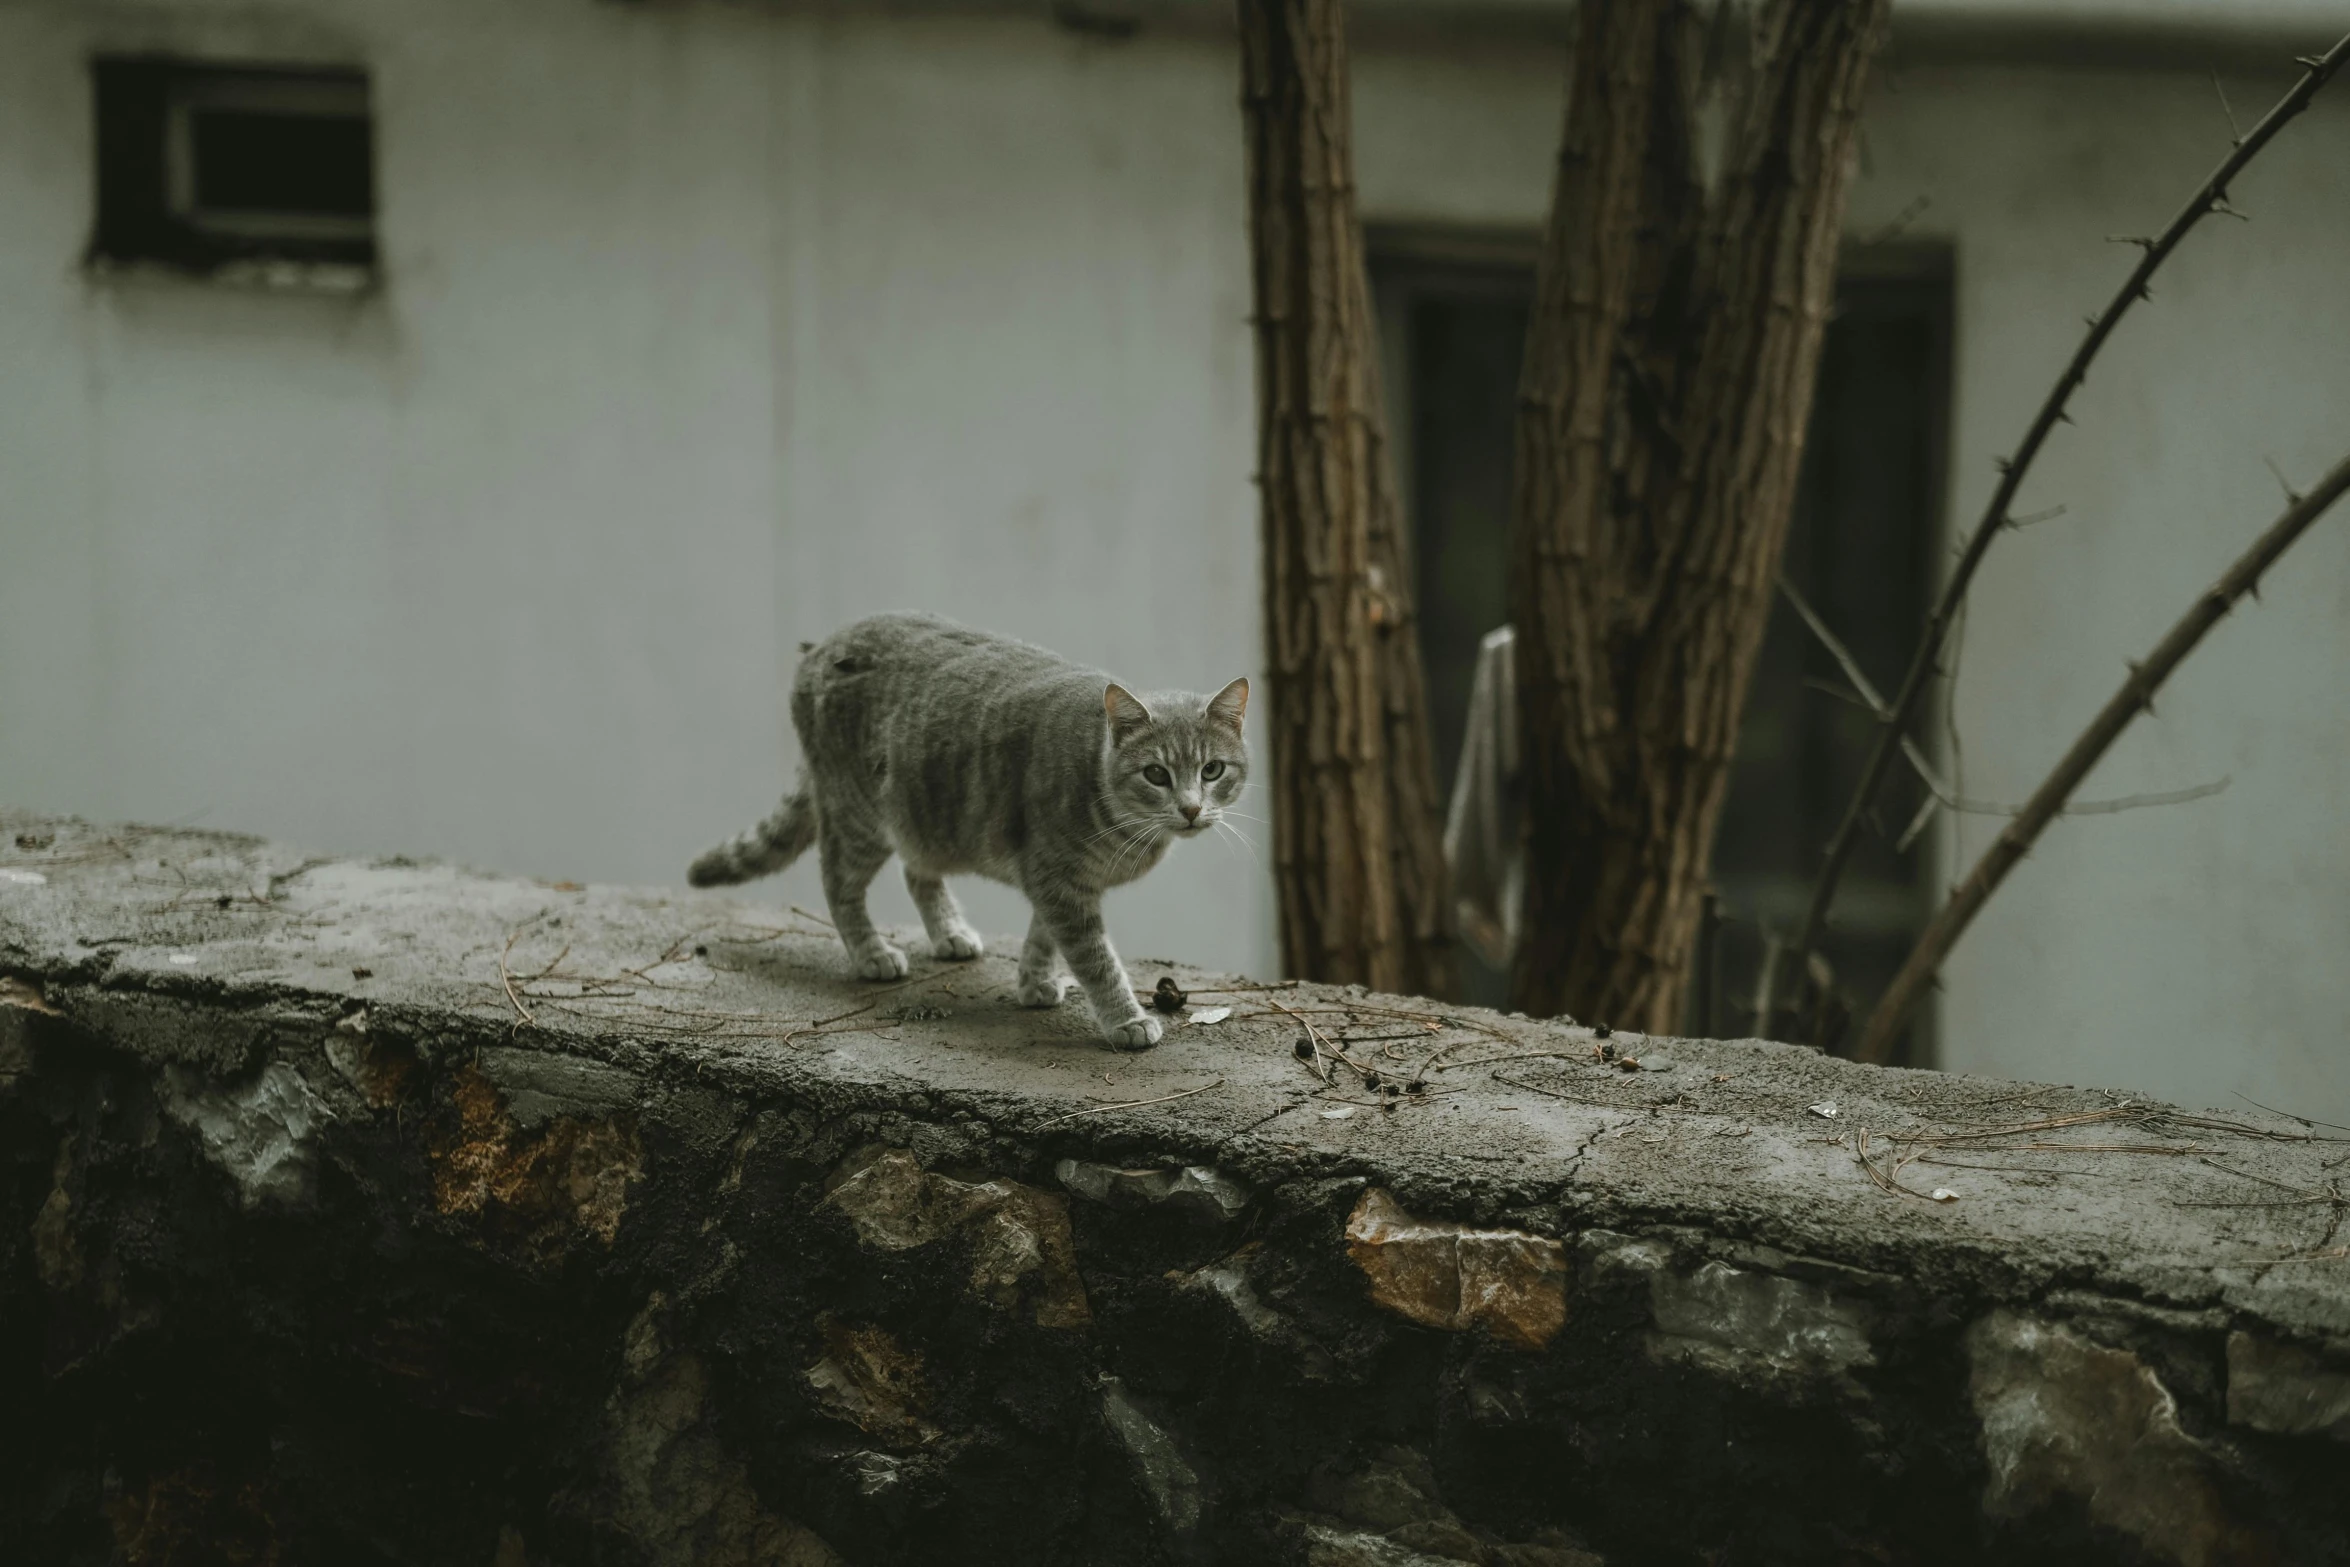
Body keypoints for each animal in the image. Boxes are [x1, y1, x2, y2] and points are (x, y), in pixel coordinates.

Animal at [686, 615, 1250, 1052]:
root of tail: (821, 644)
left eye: (1212, 770)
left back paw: (949, 933)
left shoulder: (1053, 880)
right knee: (838, 882)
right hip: (859, 815)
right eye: (1156, 773)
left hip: (922, 817)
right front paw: (1126, 1018)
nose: (1191, 809)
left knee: (917, 874)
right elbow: (1095, 957)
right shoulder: (1057, 878)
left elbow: (1043, 935)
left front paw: (1035, 980)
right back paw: (871, 953)